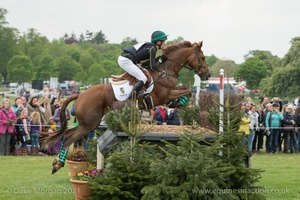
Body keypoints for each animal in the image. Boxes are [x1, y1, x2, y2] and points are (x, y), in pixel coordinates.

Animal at [45, 40, 211, 173]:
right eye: (202, 58)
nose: (207, 75)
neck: (165, 71)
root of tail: (80, 95)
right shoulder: (164, 95)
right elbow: (187, 90)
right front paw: (178, 102)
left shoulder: (169, 93)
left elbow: (187, 90)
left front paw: (177, 103)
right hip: (89, 124)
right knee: (68, 138)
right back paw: (57, 164)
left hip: (87, 124)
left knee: (68, 134)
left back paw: (57, 162)